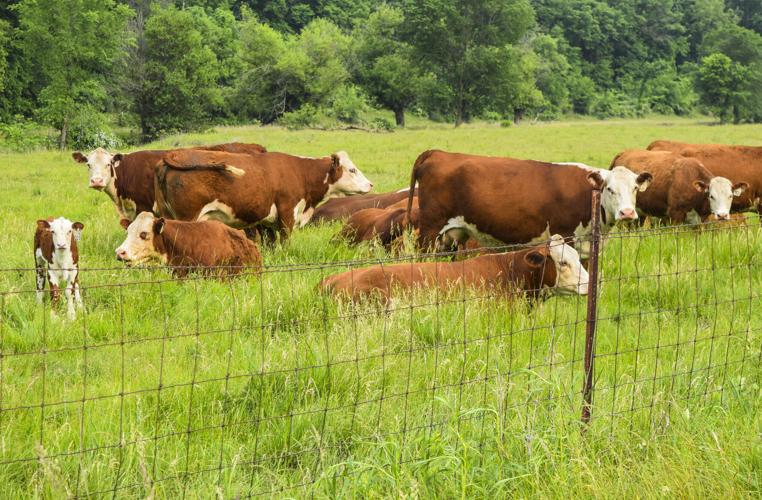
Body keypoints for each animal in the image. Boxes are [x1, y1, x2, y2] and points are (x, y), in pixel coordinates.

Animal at [153, 149, 373, 243]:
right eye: (352, 170)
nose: (371, 184)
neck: (300, 172)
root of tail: (175, 154)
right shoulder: (287, 213)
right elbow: (285, 241)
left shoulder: (268, 221)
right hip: (187, 217)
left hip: (167, 214)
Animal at [406, 150, 652, 259]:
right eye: (609, 189)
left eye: (635, 188)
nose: (627, 212)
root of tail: (438, 153)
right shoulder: (565, 236)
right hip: (430, 230)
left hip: (451, 235)